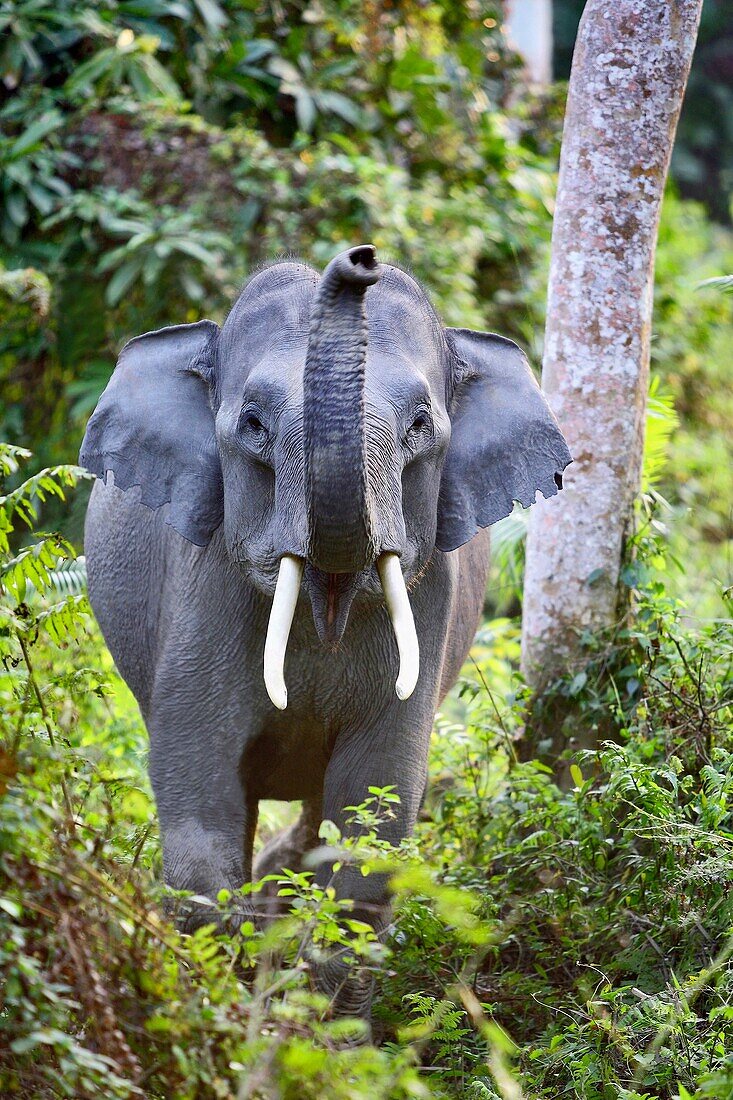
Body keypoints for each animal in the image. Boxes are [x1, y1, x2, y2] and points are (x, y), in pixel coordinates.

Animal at [81, 245, 572, 1016]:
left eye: (420, 426)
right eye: (252, 425)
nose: (360, 258)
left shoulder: (430, 601)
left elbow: (375, 809)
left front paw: (319, 1026)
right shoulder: (202, 584)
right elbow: (199, 807)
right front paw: (227, 1007)